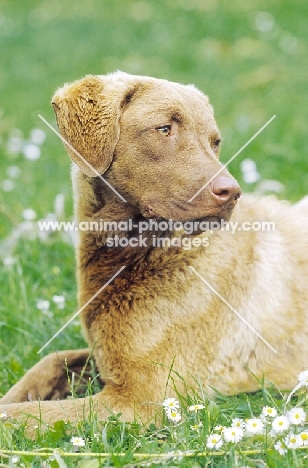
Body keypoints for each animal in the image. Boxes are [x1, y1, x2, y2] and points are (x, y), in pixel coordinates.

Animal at [0, 71, 308, 426]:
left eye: (214, 142)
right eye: (164, 129)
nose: (231, 192)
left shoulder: (142, 398)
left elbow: (20, 415)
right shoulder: (107, 361)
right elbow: (48, 364)